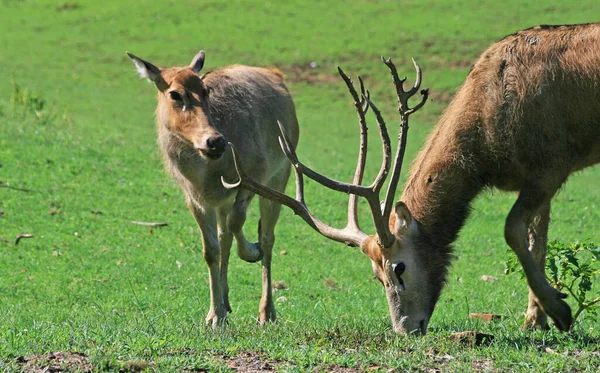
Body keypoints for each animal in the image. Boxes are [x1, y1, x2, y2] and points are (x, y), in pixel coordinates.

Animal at [126, 50, 300, 326]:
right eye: (175, 94)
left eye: (206, 90)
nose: (216, 141)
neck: (207, 172)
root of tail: (276, 75)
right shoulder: (195, 197)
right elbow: (210, 250)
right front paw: (214, 316)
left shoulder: (256, 172)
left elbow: (238, 221)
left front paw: (252, 251)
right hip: (225, 199)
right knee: (224, 235)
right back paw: (226, 302)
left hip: (281, 173)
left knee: (267, 234)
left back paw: (266, 311)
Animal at [223, 22, 600, 334]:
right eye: (376, 275)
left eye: (399, 268)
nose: (404, 329)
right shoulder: (536, 178)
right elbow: (538, 240)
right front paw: (536, 318)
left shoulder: (551, 163)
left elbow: (513, 230)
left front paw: (559, 312)